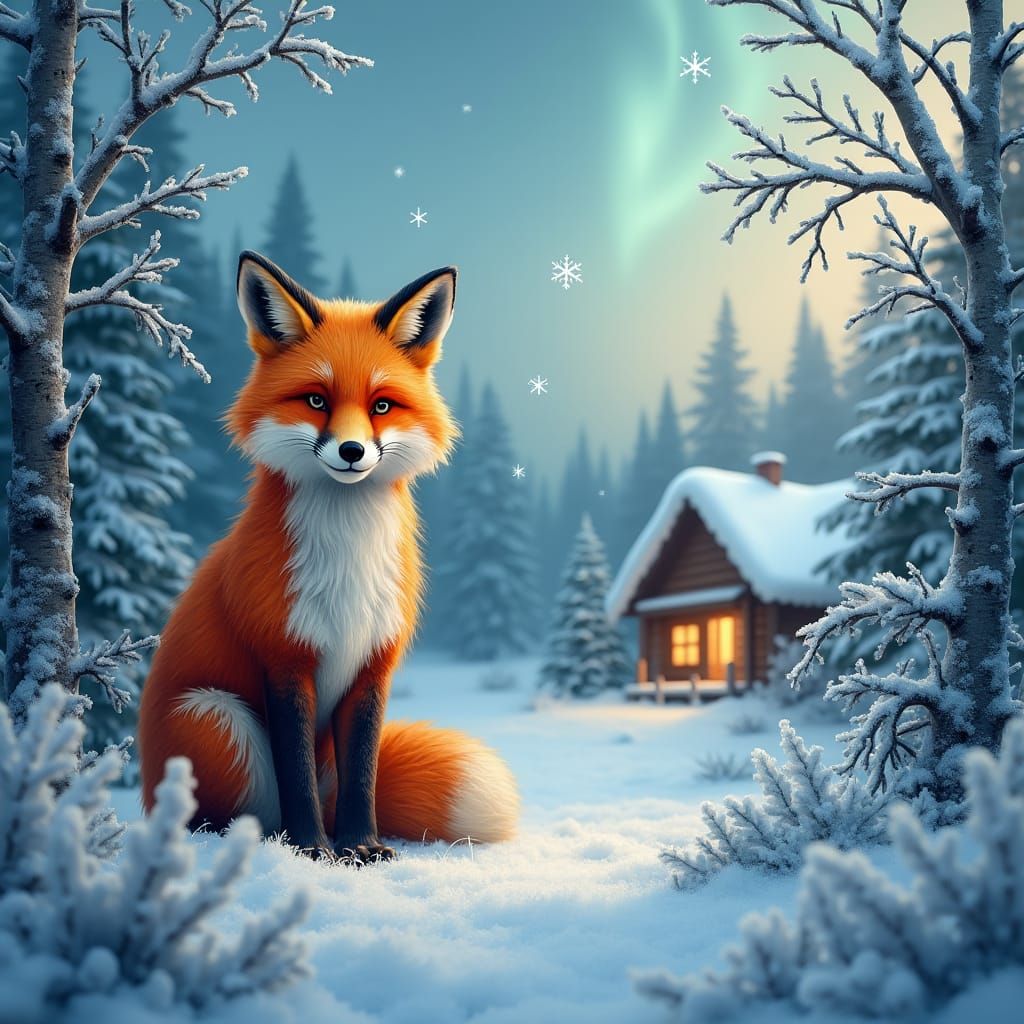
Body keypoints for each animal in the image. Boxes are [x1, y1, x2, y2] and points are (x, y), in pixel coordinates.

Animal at [138, 252, 519, 861]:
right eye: (316, 400)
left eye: (381, 406)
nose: (352, 450)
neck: (348, 566)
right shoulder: (285, 658)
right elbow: (294, 774)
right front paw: (313, 850)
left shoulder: (372, 665)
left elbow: (363, 773)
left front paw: (361, 847)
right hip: (217, 718)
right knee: (241, 813)